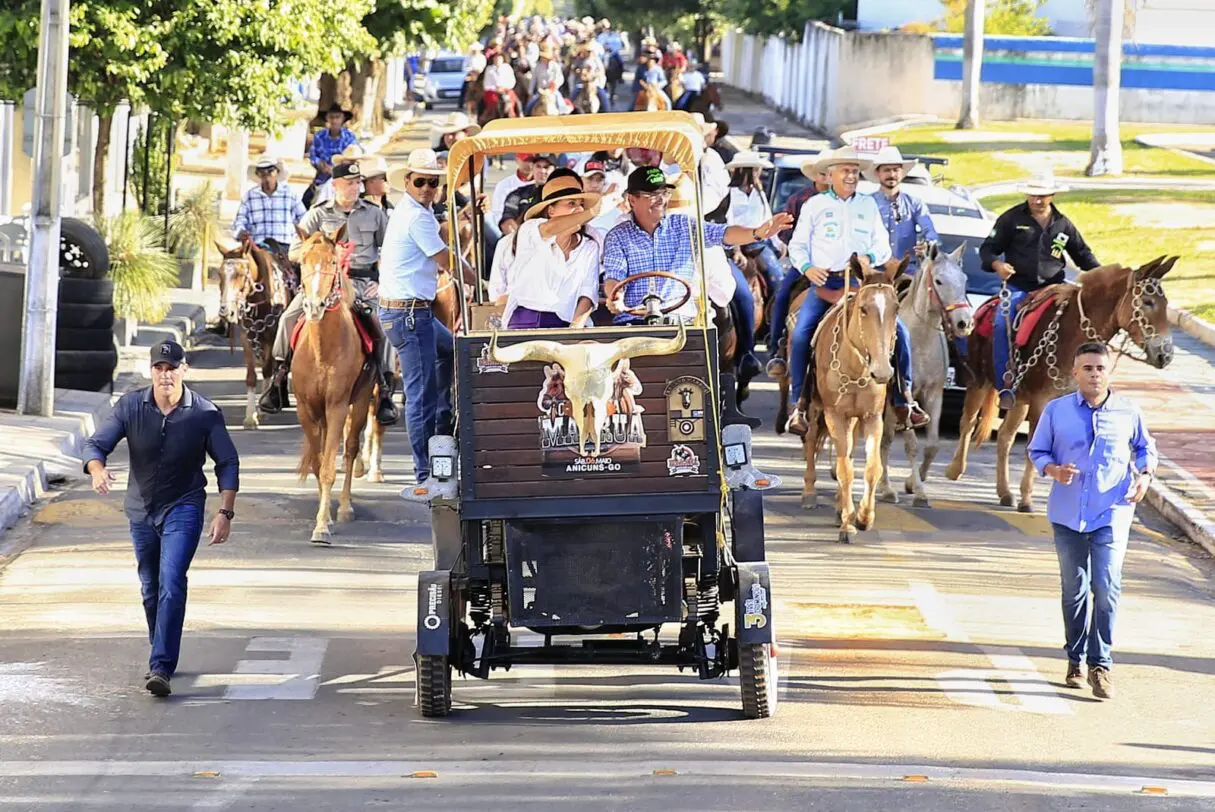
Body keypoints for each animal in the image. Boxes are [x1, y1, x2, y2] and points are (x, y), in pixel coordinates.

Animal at [290, 227, 381, 544]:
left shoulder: (338, 406)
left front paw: (322, 525)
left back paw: (344, 506)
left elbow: (330, 466)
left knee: (351, 448)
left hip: (362, 400)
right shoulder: (306, 409)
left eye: (332, 261)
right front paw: (323, 516)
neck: (322, 350)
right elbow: (318, 464)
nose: (314, 306)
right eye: (302, 261)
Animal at [801, 256, 908, 542]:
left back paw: (841, 508)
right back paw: (809, 494)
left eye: (896, 308)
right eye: (863, 309)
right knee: (811, 441)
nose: (882, 371)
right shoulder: (835, 416)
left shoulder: (872, 418)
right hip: (815, 411)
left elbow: (871, 468)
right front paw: (847, 526)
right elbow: (844, 470)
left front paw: (863, 517)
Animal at [879, 243, 972, 508]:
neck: (919, 341)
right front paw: (919, 492)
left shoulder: (934, 394)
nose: (964, 323)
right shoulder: (904, 398)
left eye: (964, 279)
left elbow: (932, 445)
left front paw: (913, 483)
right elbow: (910, 444)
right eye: (939, 281)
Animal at [942, 258, 1171, 512]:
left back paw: (1005, 492)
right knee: (968, 422)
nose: (1166, 354)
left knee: (1004, 437)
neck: (1073, 335)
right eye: (1148, 302)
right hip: (979, 381)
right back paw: (955, 470)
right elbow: (1035, 446)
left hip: (1019, 399)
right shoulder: (1041, 402)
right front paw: (1027, 499)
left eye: (1166, 304)